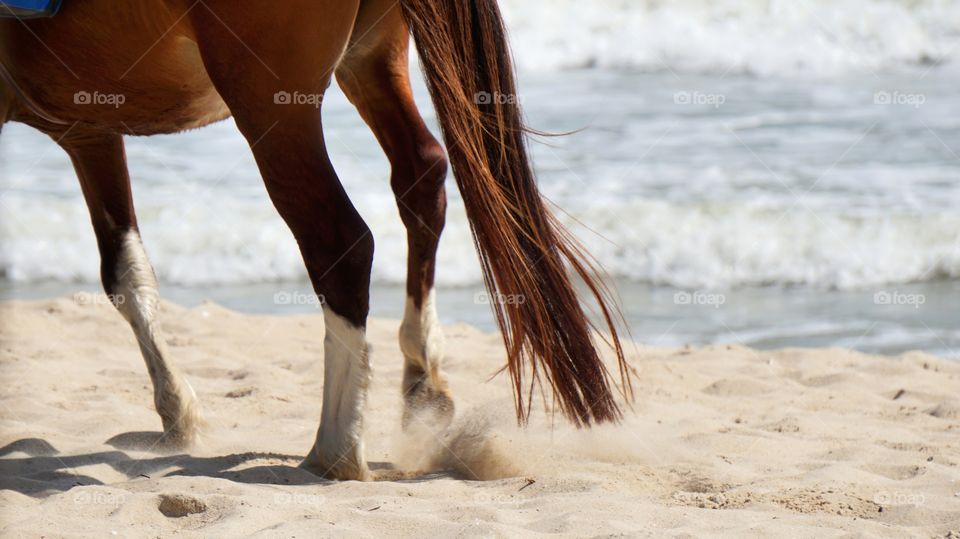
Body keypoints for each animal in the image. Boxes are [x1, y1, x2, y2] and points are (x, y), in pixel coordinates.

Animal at [0, 0, 631, 480]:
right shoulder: (88, 127)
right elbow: (126, 274)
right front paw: (180, 415)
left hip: (269, 103)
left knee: (338, 239)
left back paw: (336, 448)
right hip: (369, 58)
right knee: (422, 173)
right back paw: (420, 377)